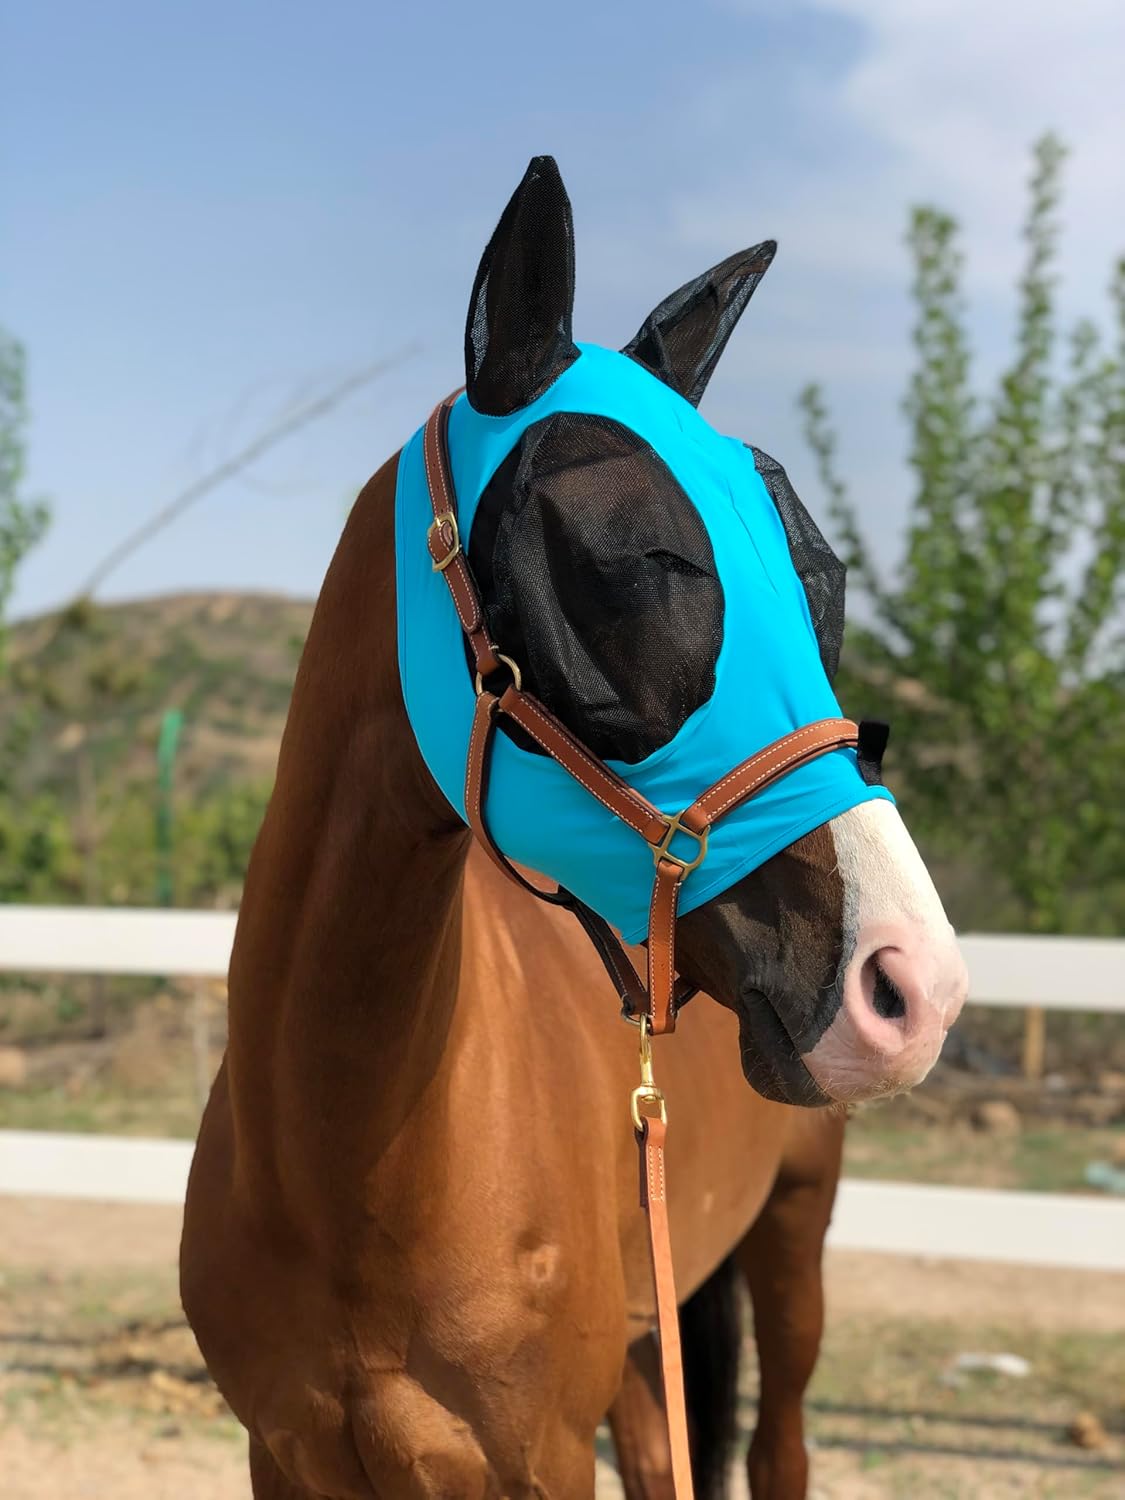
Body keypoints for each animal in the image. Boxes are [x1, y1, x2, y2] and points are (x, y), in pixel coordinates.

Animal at [181, 156, 967, 1500]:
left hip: (791, 1248)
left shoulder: (540, 1460)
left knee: (780, 1444)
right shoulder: (283, 1457)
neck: (349, 1165)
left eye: (823, 577)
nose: (910, 985)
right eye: (635, 558)